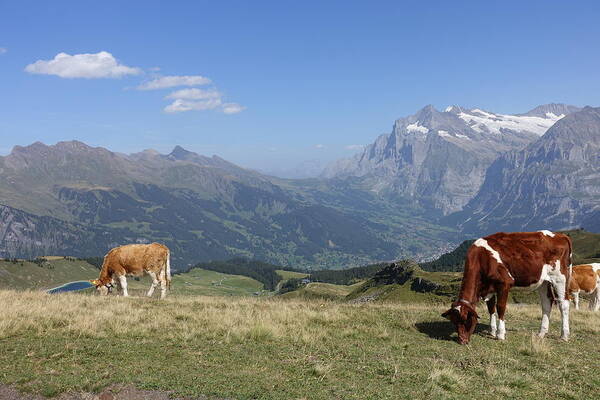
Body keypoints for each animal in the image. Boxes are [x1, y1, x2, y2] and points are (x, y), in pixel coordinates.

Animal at [442, 231, 576, 344]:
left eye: (466, 320)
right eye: (454, 321)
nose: (462, 340)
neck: (482, 258)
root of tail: (561, 235)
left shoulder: (504, 283)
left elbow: (500, 307)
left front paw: (500, 334)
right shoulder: (490, 287)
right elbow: (491, 309)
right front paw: (492, 331)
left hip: (560, 278)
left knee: (563, 303)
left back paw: (564, 335)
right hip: (544, 282)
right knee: (547, 303)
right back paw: (541, 333)